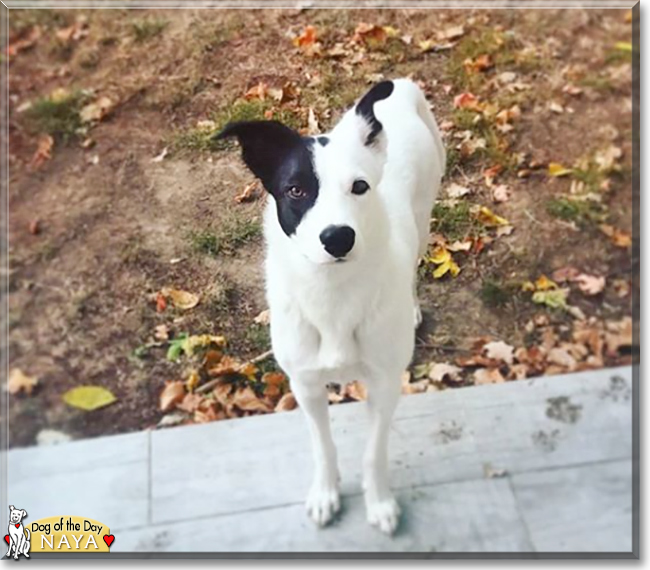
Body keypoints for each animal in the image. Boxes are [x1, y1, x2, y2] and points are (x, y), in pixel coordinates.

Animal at [218, 77, 446, 532]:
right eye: (296, 189)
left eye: (359, 186)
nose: (338, 238)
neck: (334, 296)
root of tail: (401, 86)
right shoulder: (305, 385)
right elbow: (323, 447)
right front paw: (325, 493)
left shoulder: (385, 383)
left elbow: (374, 452)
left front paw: (379, 502)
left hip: (424, 214)